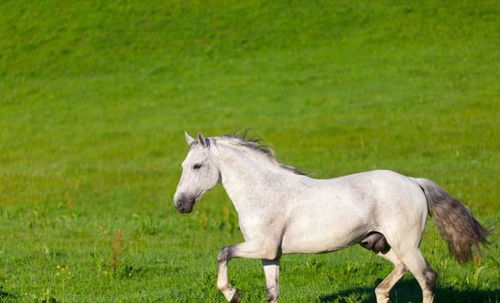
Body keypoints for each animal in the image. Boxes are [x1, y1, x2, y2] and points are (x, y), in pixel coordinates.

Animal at [172, 132, 488, 302]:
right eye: (183, 165)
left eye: (197, 166)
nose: (180, 204)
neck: (264, 192)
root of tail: (413, 182)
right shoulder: (270, 255)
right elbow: (272, 292)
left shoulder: (262, 247)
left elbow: (223, 252)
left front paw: (232, 293)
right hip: (378, 243)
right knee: (401, 271)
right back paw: (380, 292)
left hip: (405, 243)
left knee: (426, 277)